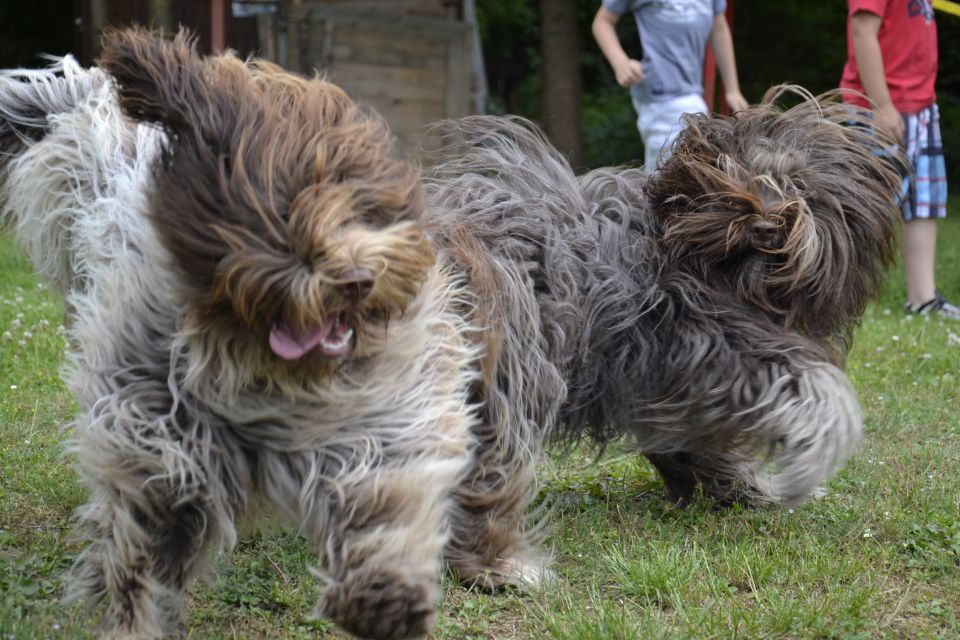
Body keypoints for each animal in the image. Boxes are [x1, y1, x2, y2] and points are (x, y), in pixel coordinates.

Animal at [0, 28, 548, 640]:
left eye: (359, 206)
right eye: (279, 212)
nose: (357, 280)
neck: (260, 364)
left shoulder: (381, 415)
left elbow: (384, 496)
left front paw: (386, 594)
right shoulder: (156, 432)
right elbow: (146, 536)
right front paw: (134, 614)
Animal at [424, 84, 904, 504]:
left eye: (798, 184)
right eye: (730, 174)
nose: (767, 226)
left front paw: (740, 489)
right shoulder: (715, 344)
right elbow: (820, 390)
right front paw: (802, 471)